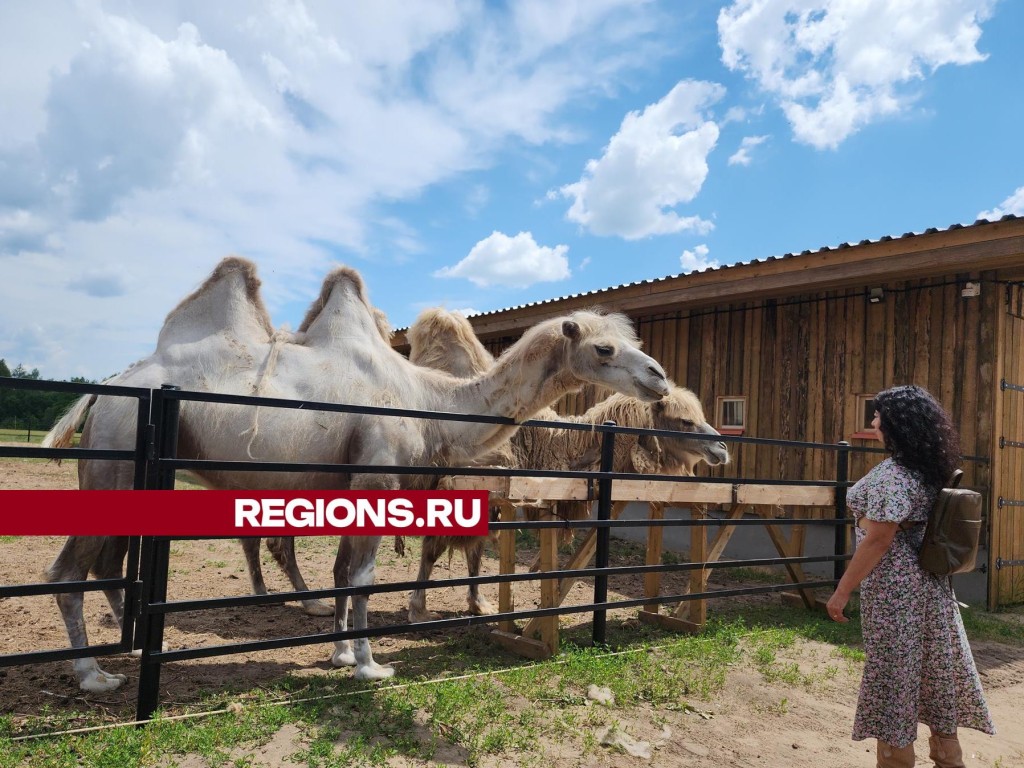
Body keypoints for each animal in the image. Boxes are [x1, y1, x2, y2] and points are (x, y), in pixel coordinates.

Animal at [41, 256, 671, 696]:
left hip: (132, 473)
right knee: (67, 570)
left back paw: (135, 649)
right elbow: (363, 575)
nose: (660, 379)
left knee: (105, 563)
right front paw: (370, 666)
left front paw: (342, 654)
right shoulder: (377, 476)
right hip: (115, 458)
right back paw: (93, 675)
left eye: (635, 342)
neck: (428, 403)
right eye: (605, 348)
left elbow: (344, 571)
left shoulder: (353, 486)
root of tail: (104, 391)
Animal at [399, 309, 729, 626]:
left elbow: (476, 550)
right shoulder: (450, 485)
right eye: (684, 421)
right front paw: (418, 610)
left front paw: (479, 604)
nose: (722, 448)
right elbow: (433, 550)